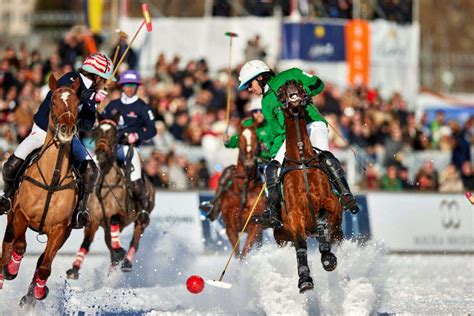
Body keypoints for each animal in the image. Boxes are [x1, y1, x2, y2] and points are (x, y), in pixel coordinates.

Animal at [0, 74, 80, 306]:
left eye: (77, 103)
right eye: (52, 101)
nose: (66, 129)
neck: (52, 180)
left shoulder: (60, 230)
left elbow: (44, 266)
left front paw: (36, 294)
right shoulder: (20, 215)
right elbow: (18, 246)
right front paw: (11, 271)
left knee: (42, 261)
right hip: (10, 215)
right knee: (7, 245)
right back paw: (3, 275)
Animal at [65, 111, 155, 278]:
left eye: (114, 134)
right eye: (96, 132)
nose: (100, 153)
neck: (106, 185)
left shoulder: (122, 215)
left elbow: (114, 219)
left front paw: (120, 251)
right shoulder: (93, 221)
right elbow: (86, 243)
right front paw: (74, 269)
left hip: (141, 218)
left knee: (136, 237)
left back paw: (126, 262)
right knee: (109, 241)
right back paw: (113, 266)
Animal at [218, 122, 266, 258]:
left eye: (256, 138)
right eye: (240, 139)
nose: (249, 161)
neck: (243, 189)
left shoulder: (255, 226)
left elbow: (244, 254)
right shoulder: (230, 228)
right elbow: (238, 254)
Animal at [272, 81, 342, 294]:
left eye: (300, 85)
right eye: (280, 91)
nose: (290, 85)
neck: (302, 160)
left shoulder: (330, 204)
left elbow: (322, 221)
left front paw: (327, 258)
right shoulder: (294, 217)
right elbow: (300, 245)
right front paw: (304, 279)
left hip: (338, 229)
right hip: (280, 237)